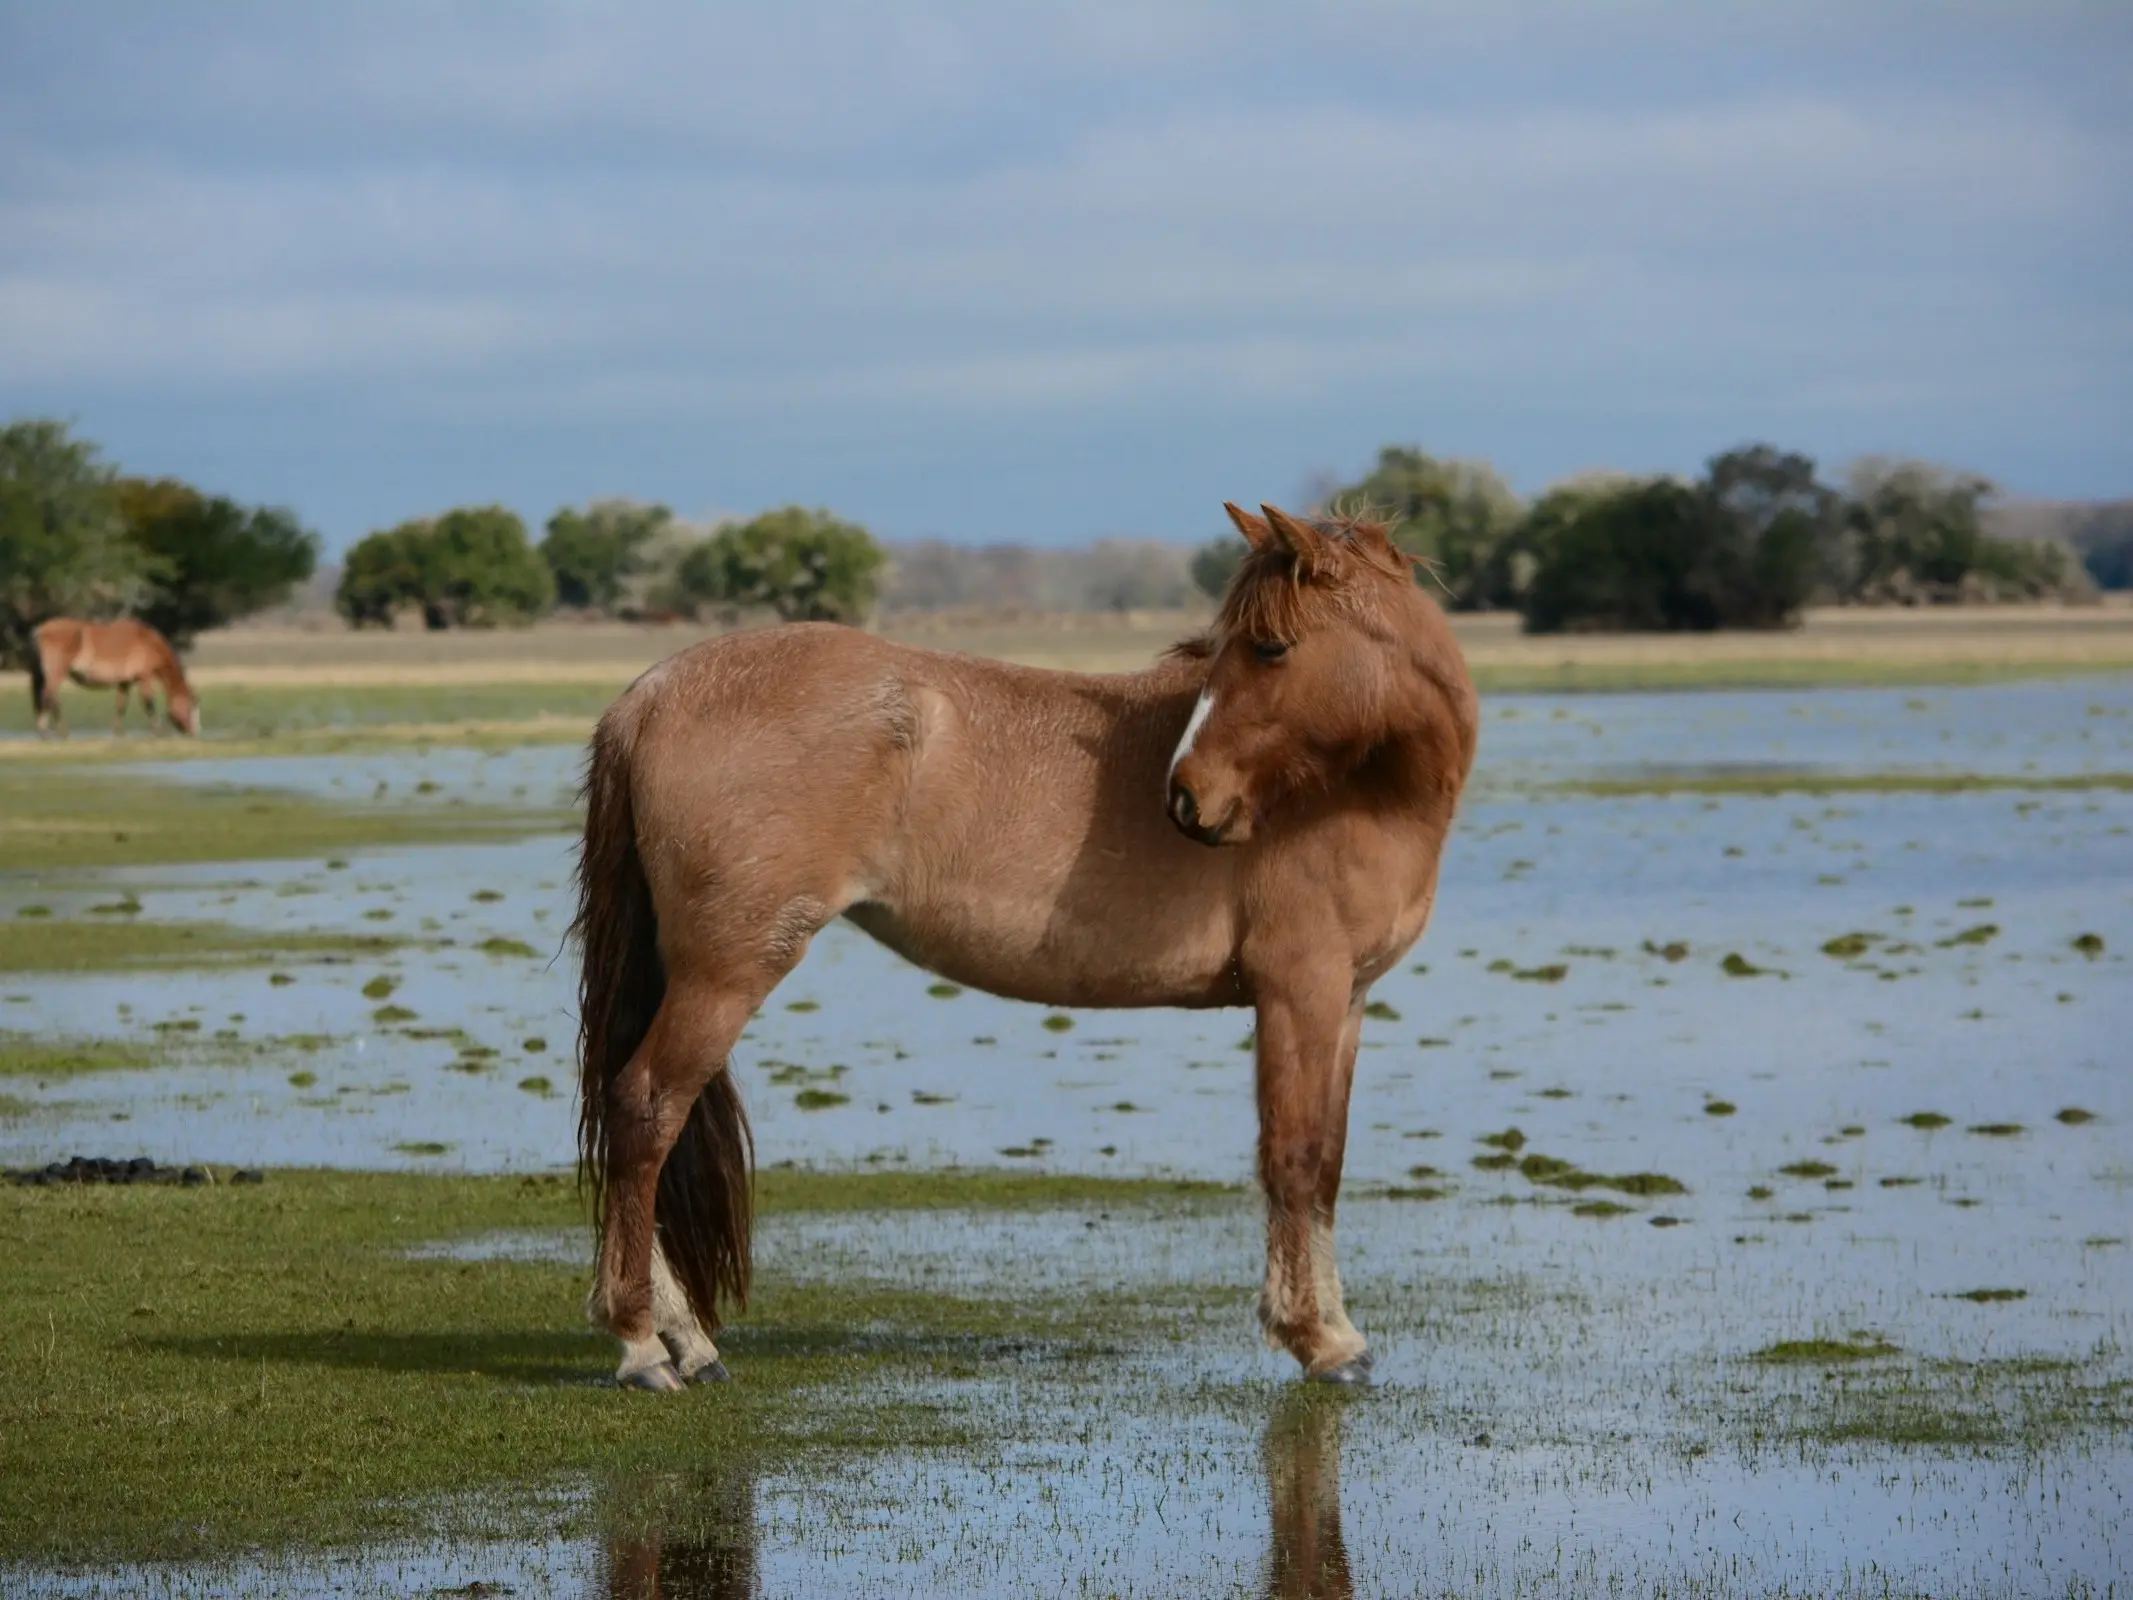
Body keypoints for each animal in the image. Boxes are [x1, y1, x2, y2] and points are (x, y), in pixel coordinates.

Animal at [29, 618, 201, 738]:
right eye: (191, 707)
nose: (194, 733)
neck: (147, 642)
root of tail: (41, 630)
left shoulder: (124, 683)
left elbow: (120, 705)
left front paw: (118, 732)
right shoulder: (144, 678)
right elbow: (148, 703)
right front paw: (159, 731)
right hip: (57, 674)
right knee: (51, 697)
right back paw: (57, 731)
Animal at [575, 503, 1476, 1390]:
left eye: (1270, 647)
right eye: (1245, 645)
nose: (1188, 798)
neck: (1357, 789)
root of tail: (649, 697)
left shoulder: (1345, 1000)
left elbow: (1326, 1166)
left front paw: (1337, 1332)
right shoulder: (1299, 989)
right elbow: (1293, 1159)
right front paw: (1316, 1340)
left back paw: (687, 1342)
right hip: (725, 973)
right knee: (645, 1111)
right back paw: (643, 1346)